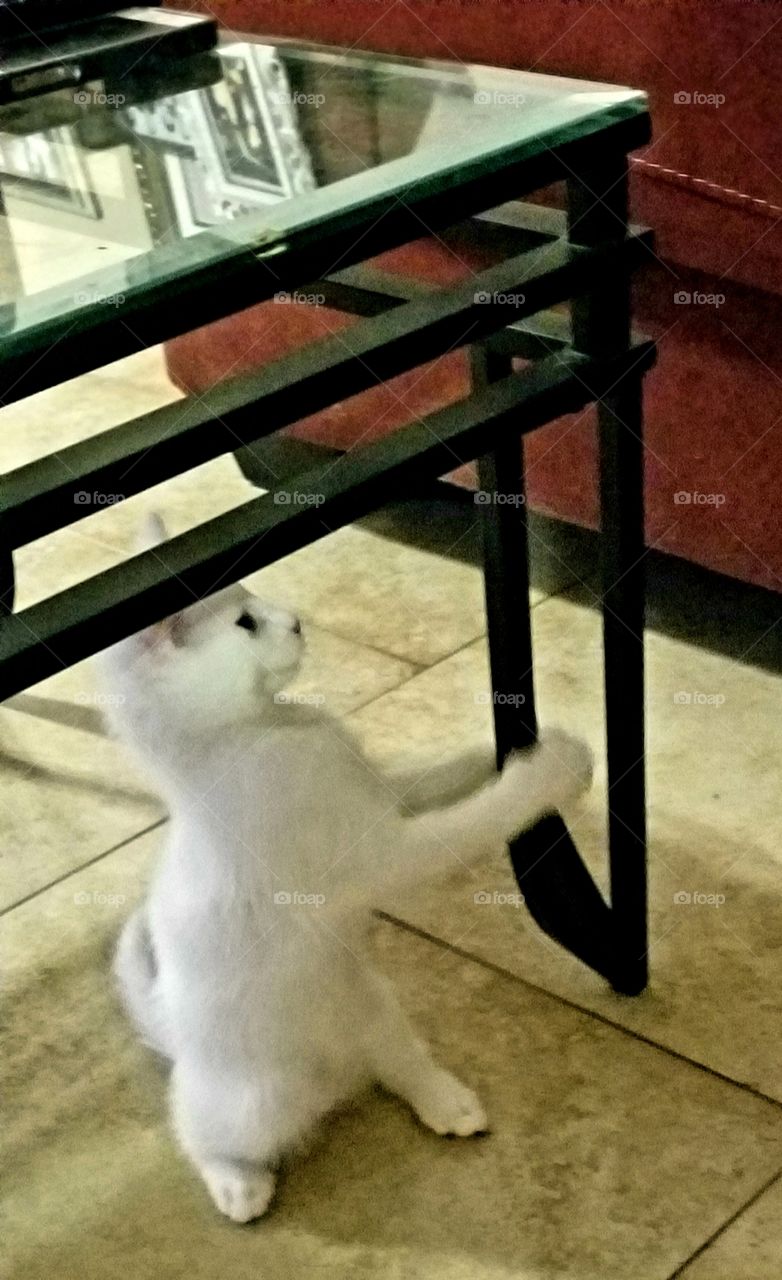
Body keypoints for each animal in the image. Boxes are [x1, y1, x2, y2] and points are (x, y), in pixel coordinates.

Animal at [104, 514, 593, 1223]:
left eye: (253, 602)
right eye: (246, 623)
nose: (297, 621)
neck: (265, 730)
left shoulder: (382, 794)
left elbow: (433, 774)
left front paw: (507, 749)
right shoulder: (384, 853)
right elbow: (477, 818)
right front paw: (549, 772)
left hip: (374, 1001)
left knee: (395, 1060)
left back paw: (445, 1101)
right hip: (253, 1100)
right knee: (194, 1129)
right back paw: (236, 1184)